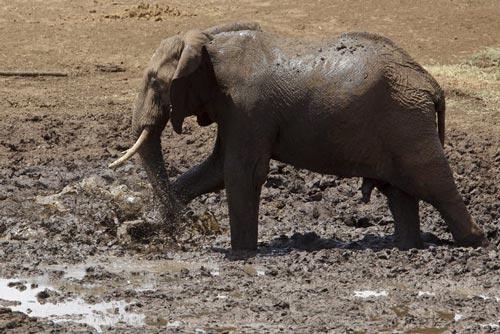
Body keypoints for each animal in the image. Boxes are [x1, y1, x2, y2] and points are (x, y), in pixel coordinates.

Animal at [110, 21, 488, 250]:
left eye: (155, 82)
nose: (178, 226)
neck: (208, 41)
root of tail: (431, 83)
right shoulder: (236, 113)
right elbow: (216, 170)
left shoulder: (248, 108)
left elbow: (241, 173)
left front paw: (241, 253)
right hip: (400, 121)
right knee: (399, 192)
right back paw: (406, 246)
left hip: (407, 121)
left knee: (432, 183)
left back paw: (474, 240)